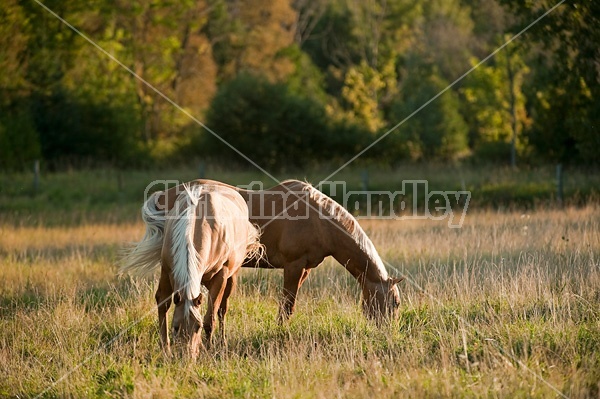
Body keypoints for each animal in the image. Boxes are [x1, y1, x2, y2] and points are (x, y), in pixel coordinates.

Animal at [120, 183, 262, 358]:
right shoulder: (167, 270)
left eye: (197, 327)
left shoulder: (220, 276)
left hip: (230, 277)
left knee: (222, 309)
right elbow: (163, 303)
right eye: (175, 327)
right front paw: (165, 348)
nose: (186, 356)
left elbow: (210, 319)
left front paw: (208, 349)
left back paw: (222, 342)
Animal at [150, 180, 404, 324]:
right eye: (395, 303)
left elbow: (288, 306)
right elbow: (287, 305)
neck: (319, 220)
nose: (388, 332)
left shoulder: (305, 269)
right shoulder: (293, 265)